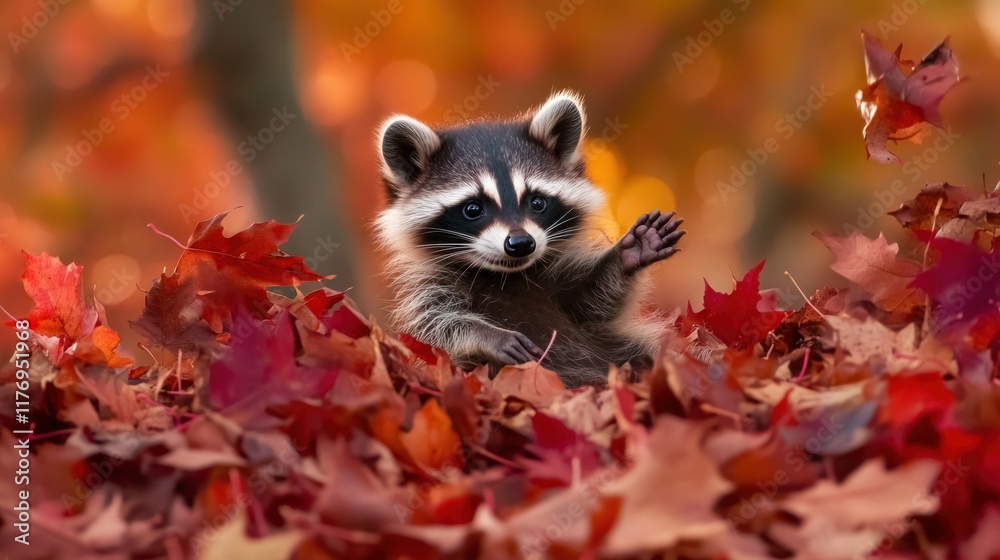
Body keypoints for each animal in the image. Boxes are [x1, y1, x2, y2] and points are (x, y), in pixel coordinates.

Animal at [376, 91, 688, 390]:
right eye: (473, 209)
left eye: (537, 202)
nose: (520, 243)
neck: (505, 276)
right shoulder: (431, 287)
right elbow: (439, 326)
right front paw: (488, 335)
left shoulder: (558, 280)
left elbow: (591, 303)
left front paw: (628, 254)